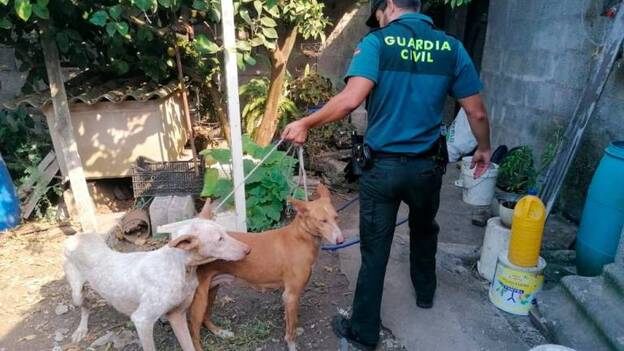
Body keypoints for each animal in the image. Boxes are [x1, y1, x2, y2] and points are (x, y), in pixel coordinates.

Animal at [63, 220, 249, 351]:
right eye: (220, 239)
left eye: (225, 233)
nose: (248, 250)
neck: (181, 266)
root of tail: (77, 236)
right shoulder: (142, 320)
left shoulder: (177, 315)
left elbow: (189, 345)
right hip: (76, 293)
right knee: (85, 306)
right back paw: (81, 330)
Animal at [190, 186, 346, 350]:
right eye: (322, 221)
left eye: (336, 217)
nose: (341, 240)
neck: (301, 237)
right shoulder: (291, 294)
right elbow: (290, 330)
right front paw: (292, 343)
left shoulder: (288, 296)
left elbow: (290, 320)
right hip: (200, 298)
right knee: (194, 332)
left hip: (212, 289)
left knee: (206, 318)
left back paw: (220, 332)